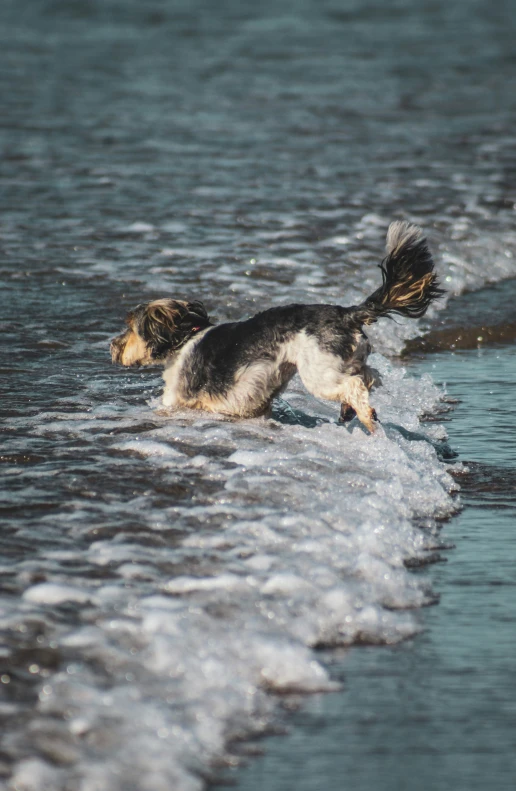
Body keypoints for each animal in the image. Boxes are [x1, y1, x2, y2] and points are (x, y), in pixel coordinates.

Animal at [111, 223, 442, 434]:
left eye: (130, 328)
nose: (112, 345)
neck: (184, 338)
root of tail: (347, 314)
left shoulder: (176, 400)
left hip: (318, 372)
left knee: (354, 385)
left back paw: (366, 418)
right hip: (345, 360)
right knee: (369, 377)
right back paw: (352, 411)